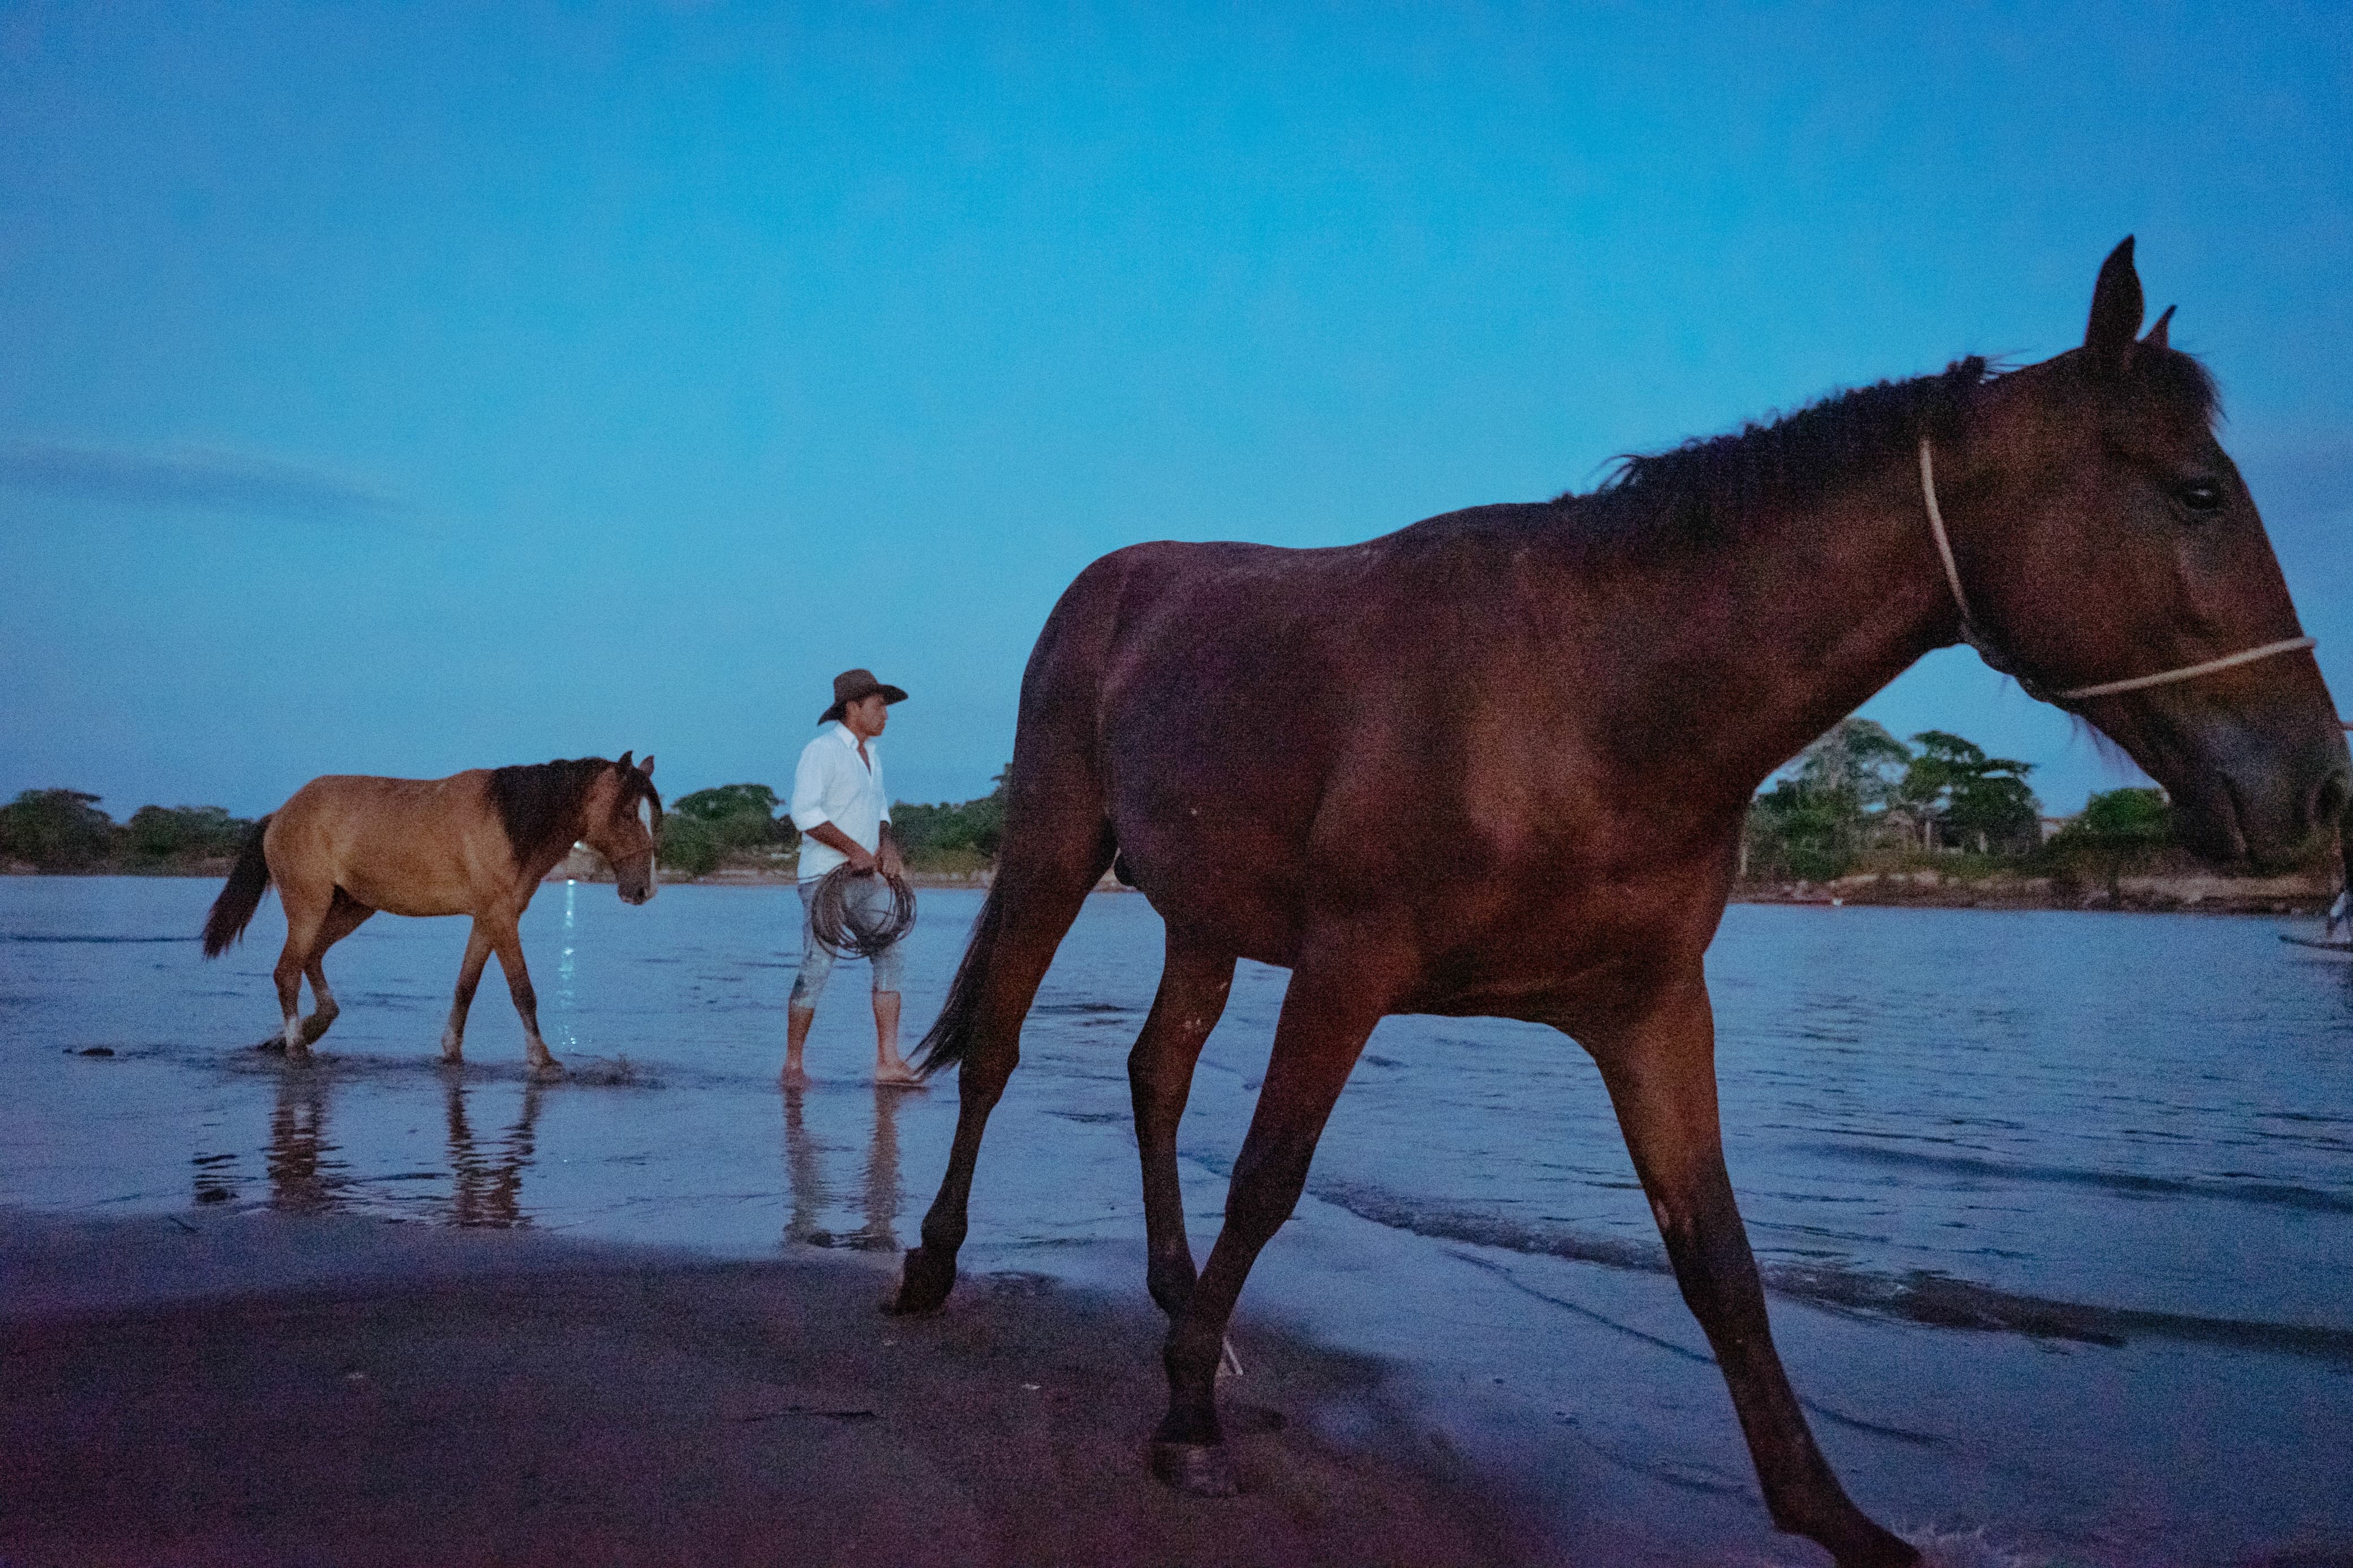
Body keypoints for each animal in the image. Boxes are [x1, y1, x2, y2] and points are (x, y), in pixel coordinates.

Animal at [202, 752, 663, 1072]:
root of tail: (280, 814)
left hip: (353, 906)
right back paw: (297, 1046)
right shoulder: (500, 918)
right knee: (287, 972)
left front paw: (452, 1051)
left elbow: (465, 989)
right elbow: (522, 991)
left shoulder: (489, 919)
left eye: (652, 816)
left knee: (310, 959)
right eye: (627, 813)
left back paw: (306, 1029)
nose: (644, 890)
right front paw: (542, 1058)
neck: (509, 821)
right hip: (308, 906)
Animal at [889, 240, 2343, 1561]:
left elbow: (1719, 1260)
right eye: (2200, 494)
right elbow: (1270, 1176)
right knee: (998, 1053)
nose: (2319, 781)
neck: (1593, 701)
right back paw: (935, 1266)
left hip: (1203, 913)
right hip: (1053, 853)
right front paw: (1187, 1423)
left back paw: (1183, 1303)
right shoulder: (1351, 965)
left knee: (1156, 1072)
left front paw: (1826, 1511)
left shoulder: (1650, 1009)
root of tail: (1113, 583)